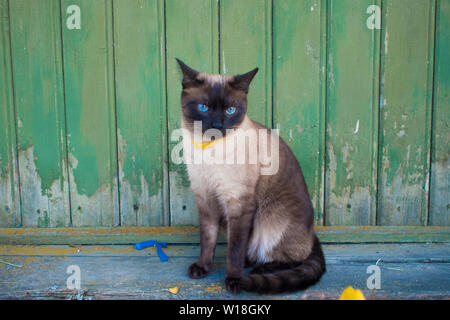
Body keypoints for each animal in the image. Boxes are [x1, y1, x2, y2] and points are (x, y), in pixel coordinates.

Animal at [175, 58, 324, 294]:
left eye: (230, 110)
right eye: (203, 108)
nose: (217, 126)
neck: (209, 151)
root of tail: (312, 234)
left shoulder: (239, 204)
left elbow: (235, 249)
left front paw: (234, 280)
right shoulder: (206, 199)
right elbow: (207, 240)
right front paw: (202, 268)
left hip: (271, 224)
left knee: (294, 258)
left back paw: (259, 270)